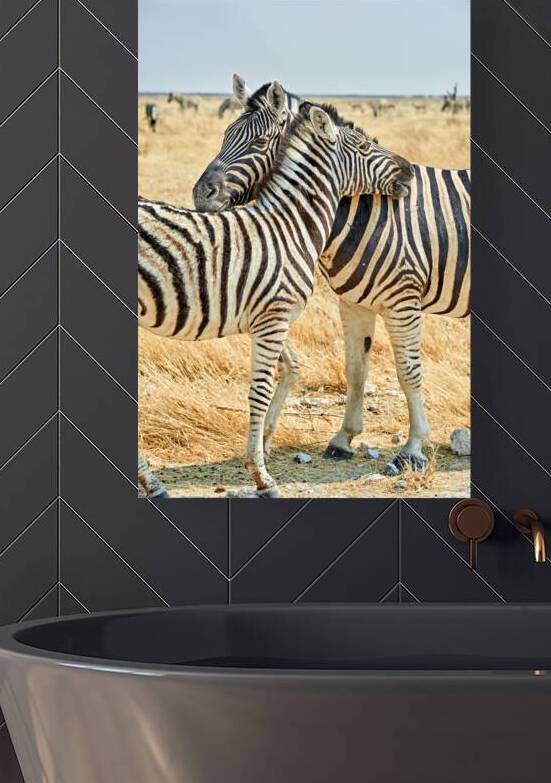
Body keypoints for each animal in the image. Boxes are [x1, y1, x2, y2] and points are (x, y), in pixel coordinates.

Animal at [138, 98, 413, 498]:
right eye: (365, 146)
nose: (410, 170)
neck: (291, 226)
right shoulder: (273, 317)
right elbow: (259, 390)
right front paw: (261, 475)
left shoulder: (267, 318)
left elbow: (290, 368)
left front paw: (263, 447)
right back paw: (151, 481)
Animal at [193, 77, 470, 474]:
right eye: (225, 134)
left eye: (259, 142)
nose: (200, 194)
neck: (364, 210)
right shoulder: (354, 303)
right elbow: (355, 369)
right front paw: (343, 439)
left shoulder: (403, 300)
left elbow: (408, 370)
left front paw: (414, 447)